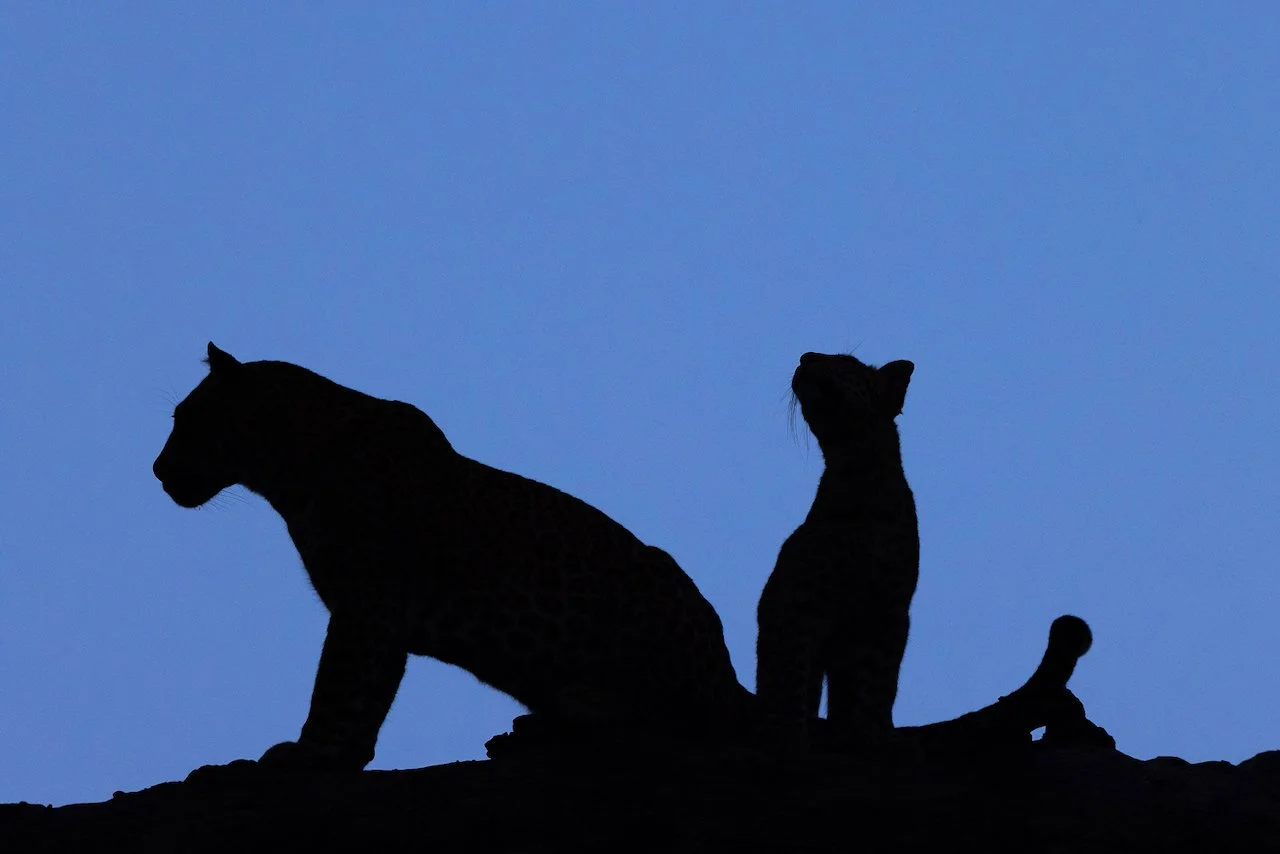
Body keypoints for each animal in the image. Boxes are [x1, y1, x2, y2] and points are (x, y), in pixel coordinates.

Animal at [153, 343, 756, 771]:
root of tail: (728, 680)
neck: (290, 474)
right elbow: (368, 691)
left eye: (189, 419)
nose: (157, 470)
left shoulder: (369, 603)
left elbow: (341, 684)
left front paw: (312, 752)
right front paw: (342, 755)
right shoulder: (371, 612)